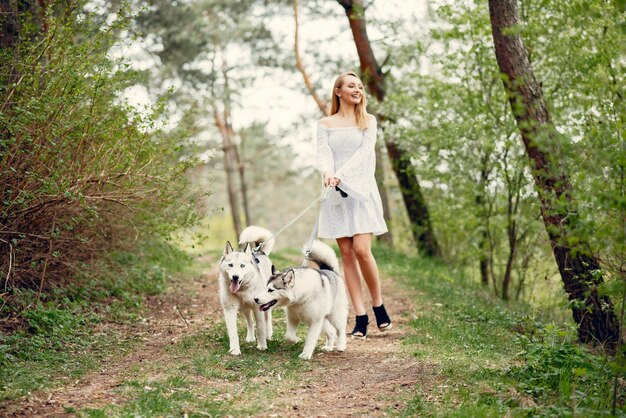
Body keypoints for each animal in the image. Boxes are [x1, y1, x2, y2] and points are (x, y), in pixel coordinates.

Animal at [218, 225, 274, 356]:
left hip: (265, 305)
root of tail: (260, 252)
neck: (242, 290)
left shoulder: (257, 308)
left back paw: (269, 334)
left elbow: (261, 328)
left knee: (267, 319)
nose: (235, 277)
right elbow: (233, 333)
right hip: (245, 309)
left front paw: (262, 346)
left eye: (242, 266)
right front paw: (234, 349)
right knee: (250, 321)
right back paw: (250, 337)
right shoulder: (230, 310)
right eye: (231, 265)